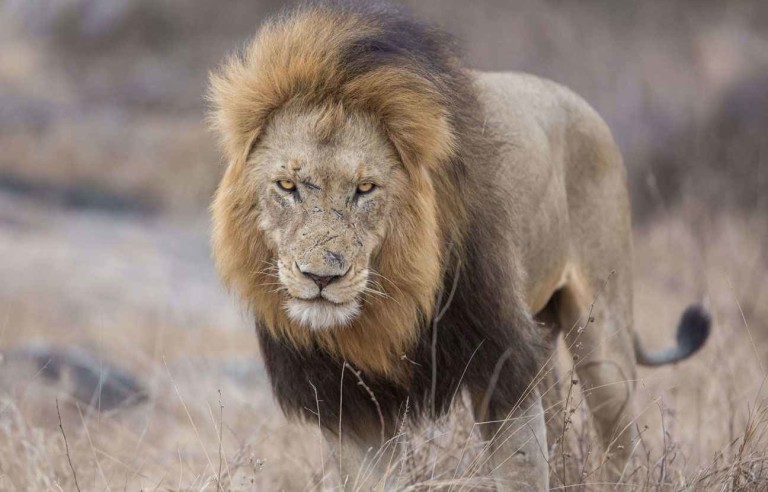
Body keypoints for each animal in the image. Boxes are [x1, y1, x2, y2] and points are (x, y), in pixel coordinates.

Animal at [208, 1, 711, 489]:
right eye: (287, 185)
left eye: (365, 189)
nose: (321, 277)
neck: (389, 308)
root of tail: (579, 101)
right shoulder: (348, 402)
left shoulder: (502, 363)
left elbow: (521, 472)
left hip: (603, 340)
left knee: (617, 447)